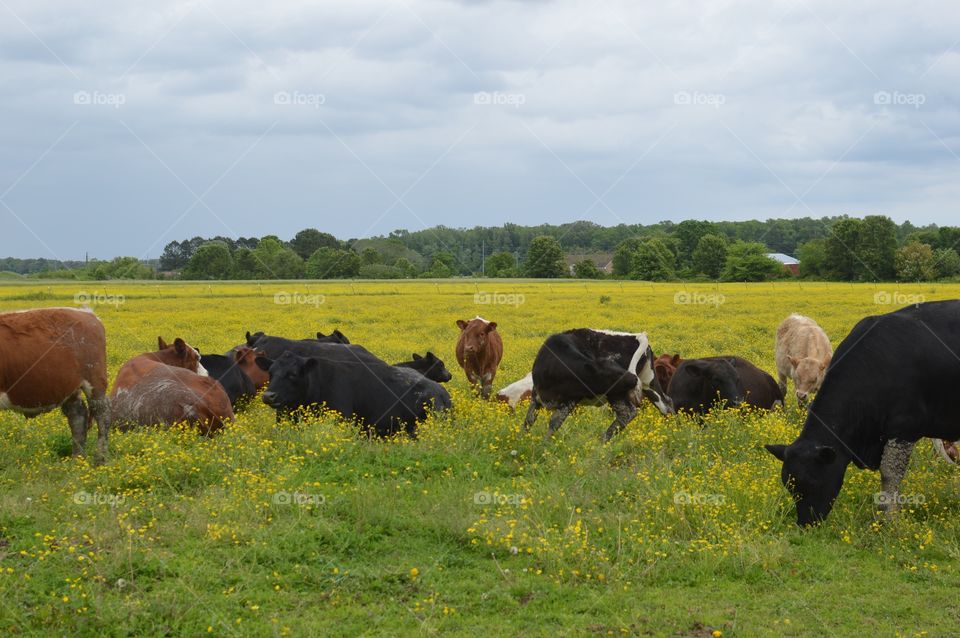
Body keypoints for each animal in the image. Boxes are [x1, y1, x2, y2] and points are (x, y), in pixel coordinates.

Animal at [0, 307, 110, 463]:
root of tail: (87, 313)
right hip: (69, 386)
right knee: (78, 416)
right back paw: (77, 459)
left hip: (95, 382)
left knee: (102, 417)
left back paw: (100, 459)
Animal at [523, 329, 673, 441]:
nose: (634, 380)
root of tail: (636, 337)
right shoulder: (535, 395)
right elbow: (529, 419)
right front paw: (523, 440)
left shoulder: (571, 399)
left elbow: (554, 421)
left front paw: (543, 445)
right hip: (648, 383)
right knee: (666, 404)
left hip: (616, 393)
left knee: (627, 413)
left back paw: (601, 442)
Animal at [765, 300, 960, 526]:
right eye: (790, 487)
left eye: (813, 482)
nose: (806, 523)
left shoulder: (904, 429)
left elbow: (889, 474)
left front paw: (889, 518)